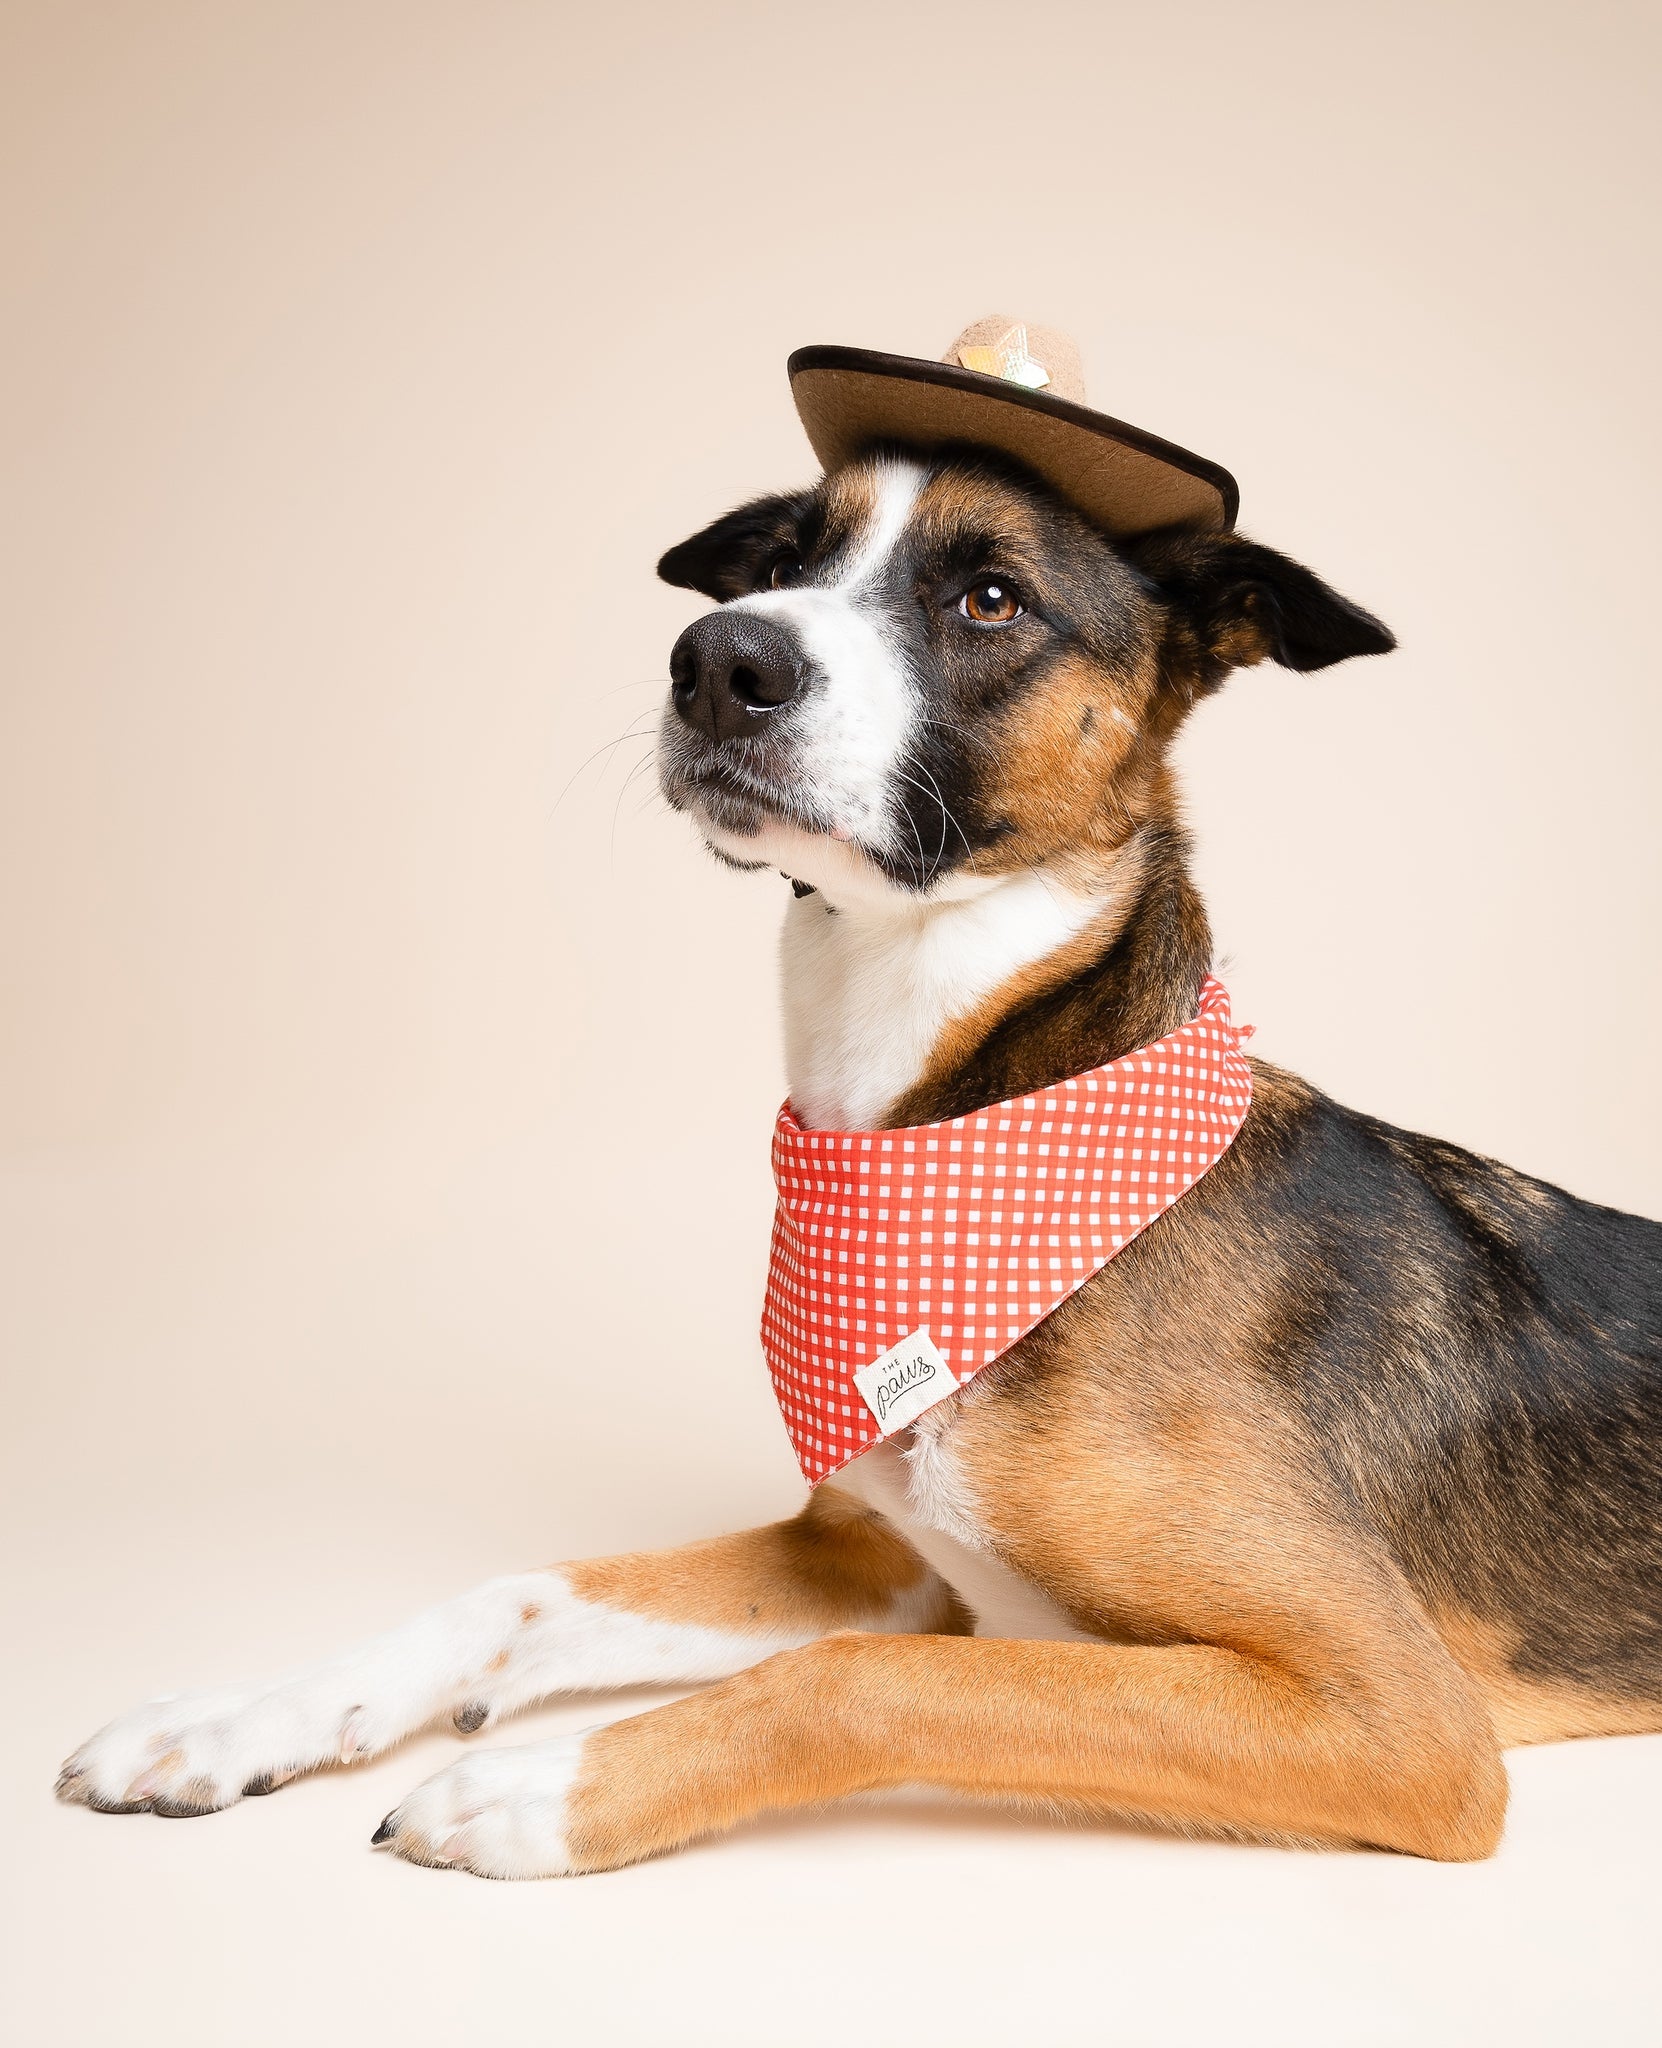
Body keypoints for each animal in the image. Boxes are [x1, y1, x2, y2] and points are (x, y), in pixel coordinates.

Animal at [58, 319, 1653, 1875]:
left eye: (991, 598)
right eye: (779, 561)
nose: (717, 658)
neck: (968, 1134)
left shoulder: (1388, 1712)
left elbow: (862, 1678)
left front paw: (543, 1782)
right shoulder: (869, 1556)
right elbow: (522, 1589)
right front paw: (235, 1716)